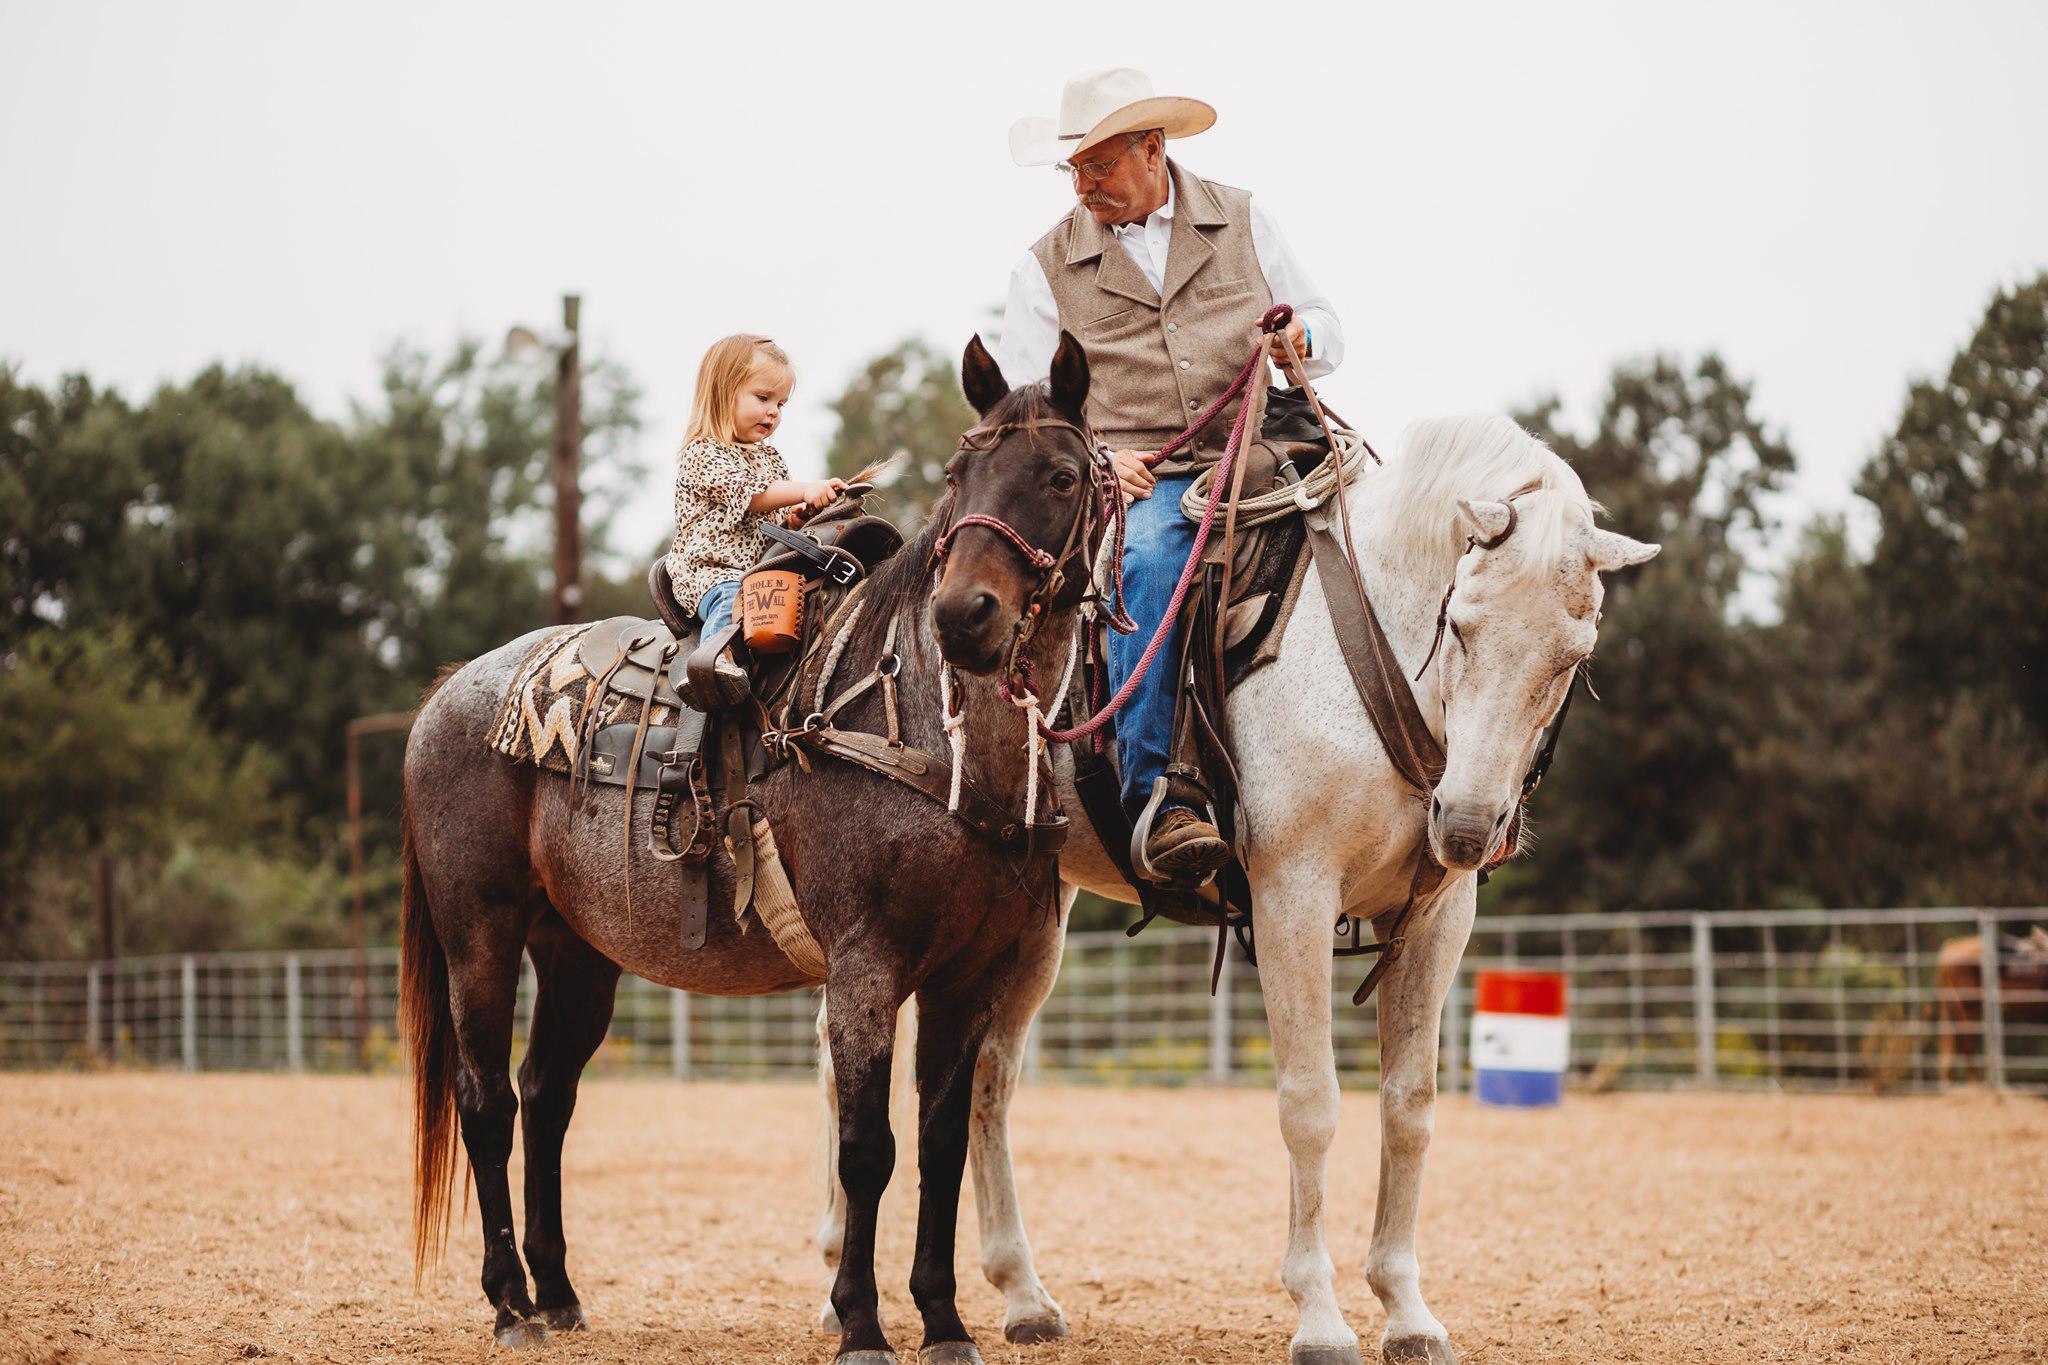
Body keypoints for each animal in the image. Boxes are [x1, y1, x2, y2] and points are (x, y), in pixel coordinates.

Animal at [401, 335, 1105, 1358]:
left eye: (1061, 475)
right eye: (957, 473)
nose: (964, 614)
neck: (926, 736)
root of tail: (449, 693)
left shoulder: (968, 976)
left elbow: (940, 1144)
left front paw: (941, 1317)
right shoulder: (866, 967)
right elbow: (868, 1150)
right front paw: (861, 1322)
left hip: (576, 952)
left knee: (547, 1093)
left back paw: (558, 1290)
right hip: (480, 937)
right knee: (487, 1099)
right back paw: (508, 1303)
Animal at [819, 417, 1662, 1365]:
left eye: (1574, 656)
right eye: (1462, 623)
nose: (1472, 825)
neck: (1359, 640)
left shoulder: (1440, 917)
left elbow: (1410, 1108)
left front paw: (1406, 1310)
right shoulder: (1292, 893)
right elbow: (1311, 1104)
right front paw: (1321, 1316)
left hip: (1030, 921)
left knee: (990, 1081)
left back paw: (1023, 1295)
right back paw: (846, 1291)